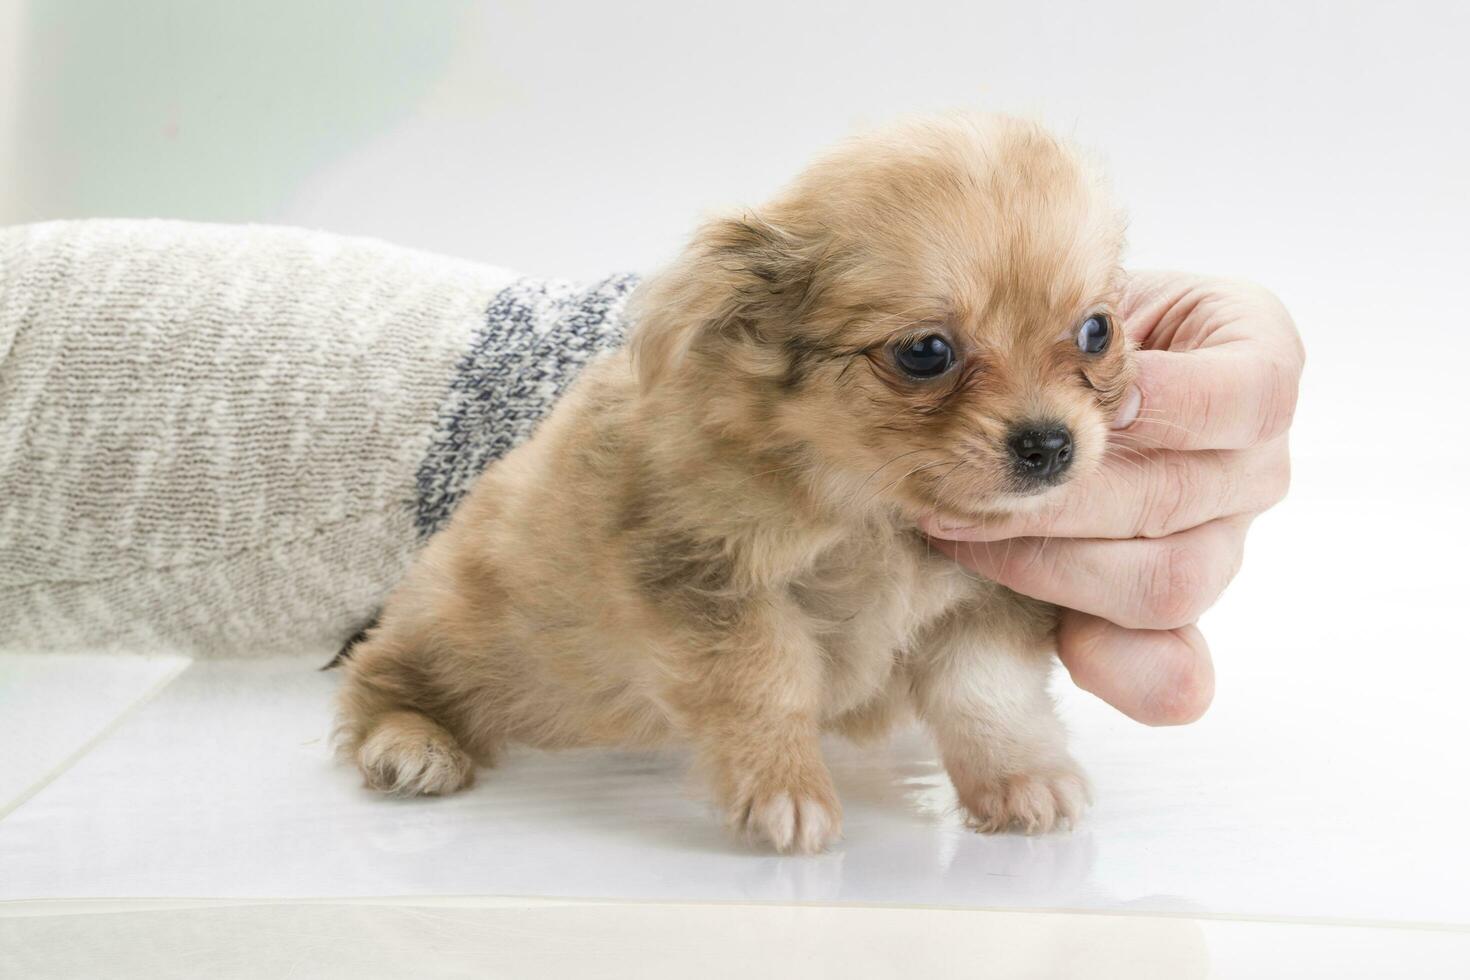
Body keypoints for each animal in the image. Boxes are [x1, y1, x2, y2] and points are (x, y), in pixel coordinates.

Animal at [338, 113, 1128, 852]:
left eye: (1097, 332)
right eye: (926, 352)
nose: (1050, 444)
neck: (869, 510)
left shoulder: (983, 600)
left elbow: (989, 697)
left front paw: (1021, 779)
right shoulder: (716, 589)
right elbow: (766, 691)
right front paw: (785, 787)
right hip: (457, 624)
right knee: (383, 675)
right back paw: (411, 743)